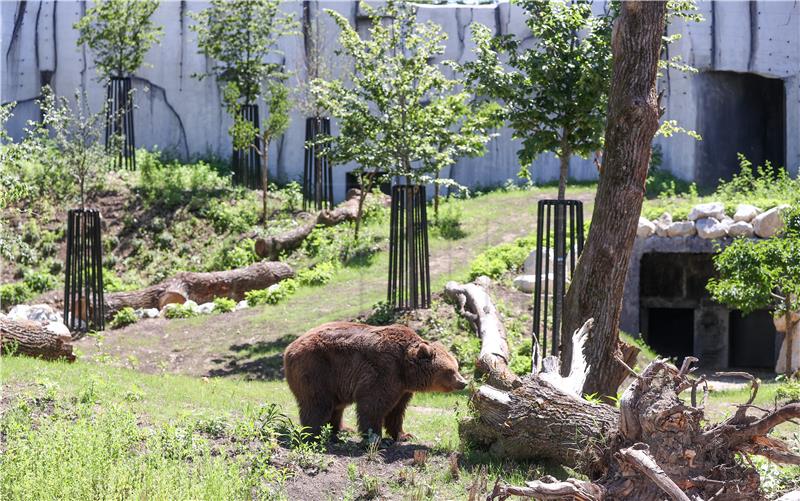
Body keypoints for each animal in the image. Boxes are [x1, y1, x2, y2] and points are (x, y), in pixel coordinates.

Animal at [282, 322, 466, 440]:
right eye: (450, 371)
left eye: (457, 366)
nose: (463, 382)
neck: (406, 370)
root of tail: (289, 348)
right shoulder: (384, 371)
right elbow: (372, 405)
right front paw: (375, 438)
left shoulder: (402, 388)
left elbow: (397, 411)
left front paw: (404, 435)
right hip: (316, 368)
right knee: (317, 403)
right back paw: (314, 433)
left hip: (335, 381)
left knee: (336, 405)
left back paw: (342, 430)